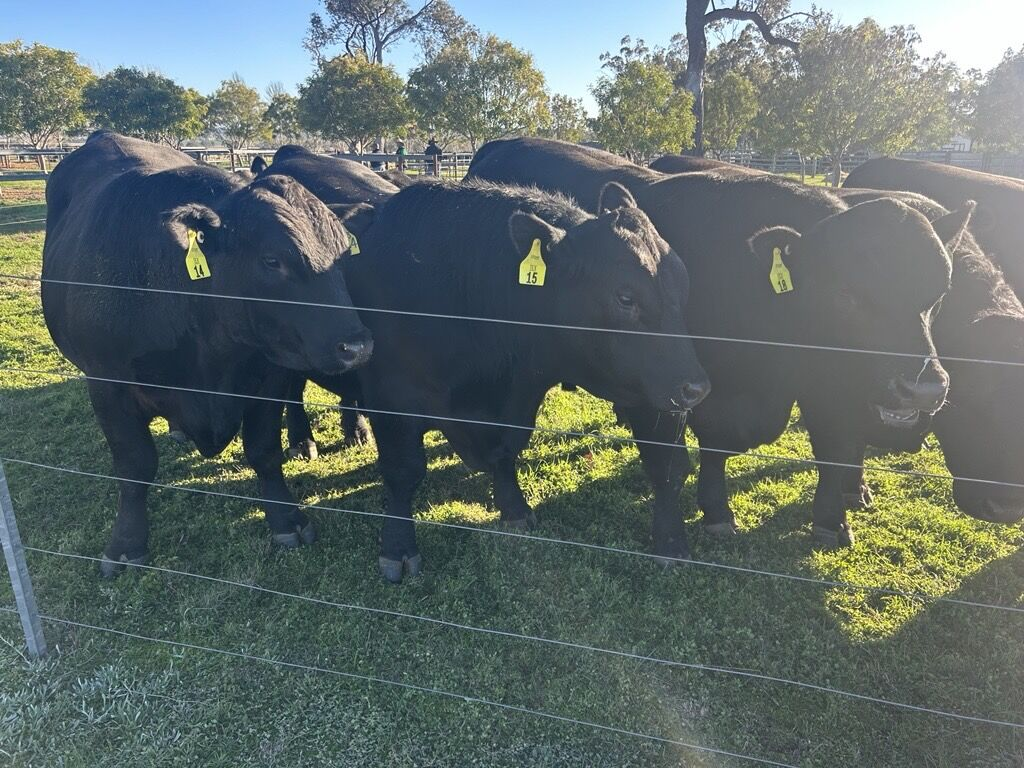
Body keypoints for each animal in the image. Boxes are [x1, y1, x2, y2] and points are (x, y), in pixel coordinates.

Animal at [42, 131, 372, 576]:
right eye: (272, 260)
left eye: (342, 254)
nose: (357, 345)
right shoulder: (107, 385)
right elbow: (134, 466)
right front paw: (125, 545)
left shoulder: (266, 378)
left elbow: (263, 451)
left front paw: (287, 521)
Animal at [329, 178, 710, 581]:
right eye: (625, 297)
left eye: (683, 283)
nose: (695, 388)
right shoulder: (393, 400)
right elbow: (403, 471)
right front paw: (398, 548)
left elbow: (505, 451)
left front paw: (514, 508)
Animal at [468, 137, 955, 552]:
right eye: (846, 294)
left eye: (939, 295)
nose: (925, 387)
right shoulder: (670, 388)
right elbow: (685, 458)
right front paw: (709, 516)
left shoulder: (826, 387)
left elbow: (835, 450)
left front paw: (832, 522)